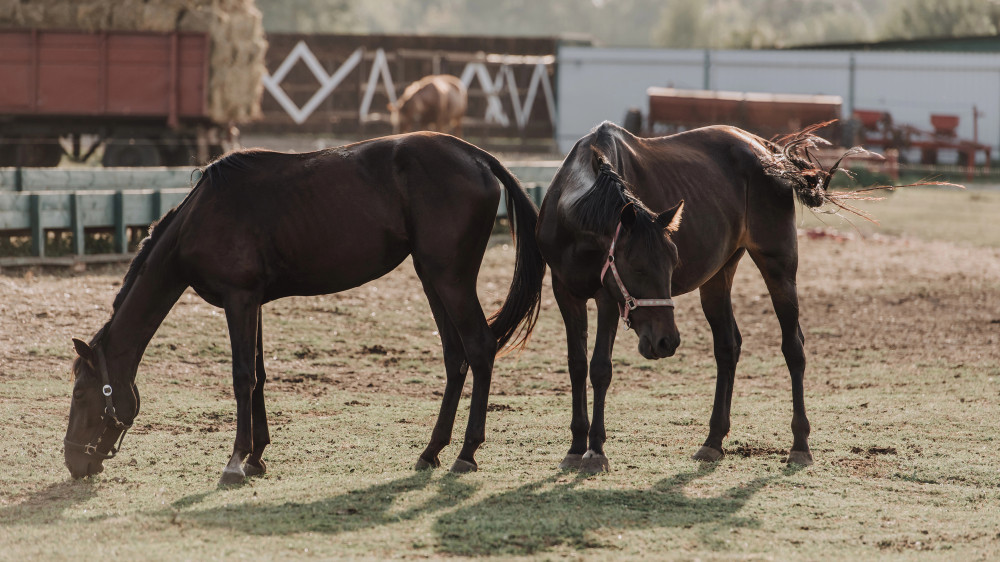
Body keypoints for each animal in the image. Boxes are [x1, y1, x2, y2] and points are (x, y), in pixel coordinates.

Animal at [536, 121, 840, 472]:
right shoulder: (564, 292)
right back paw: (713, 441)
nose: (666, 341)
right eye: (637, 267)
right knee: (727, 347)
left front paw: (596, 450)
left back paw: (800, 444)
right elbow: (576, 365)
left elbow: (600, 368)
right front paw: (575, 447)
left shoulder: (607, 297)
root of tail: (763, 147)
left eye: (672, 265)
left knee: (793, 347)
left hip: (779, 266)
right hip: (718, 276)